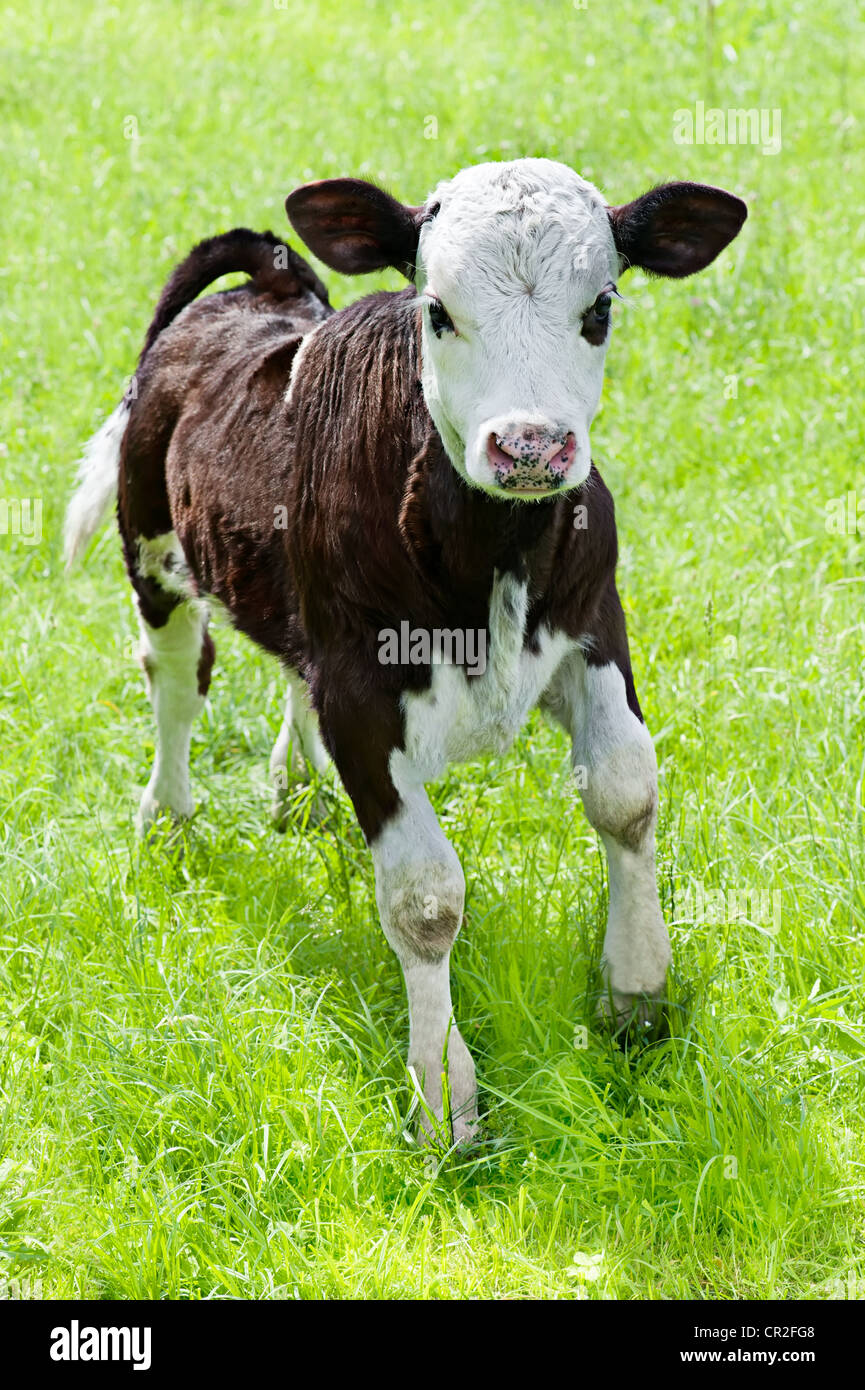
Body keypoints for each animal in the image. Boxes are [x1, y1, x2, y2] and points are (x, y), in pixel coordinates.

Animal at [66, 157, 745, 1145]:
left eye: (600, 307)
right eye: (436, 309)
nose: (530, 447)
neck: (491, 554)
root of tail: (263, 286)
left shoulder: (594, 622)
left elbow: (625, 795)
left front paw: (637, 997)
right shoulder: (361, 689)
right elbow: (426, 900)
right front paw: (441, 1102)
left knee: (285, 667)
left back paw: (299, 790)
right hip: (151, 545)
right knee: (177, 684)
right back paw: (170, 818)